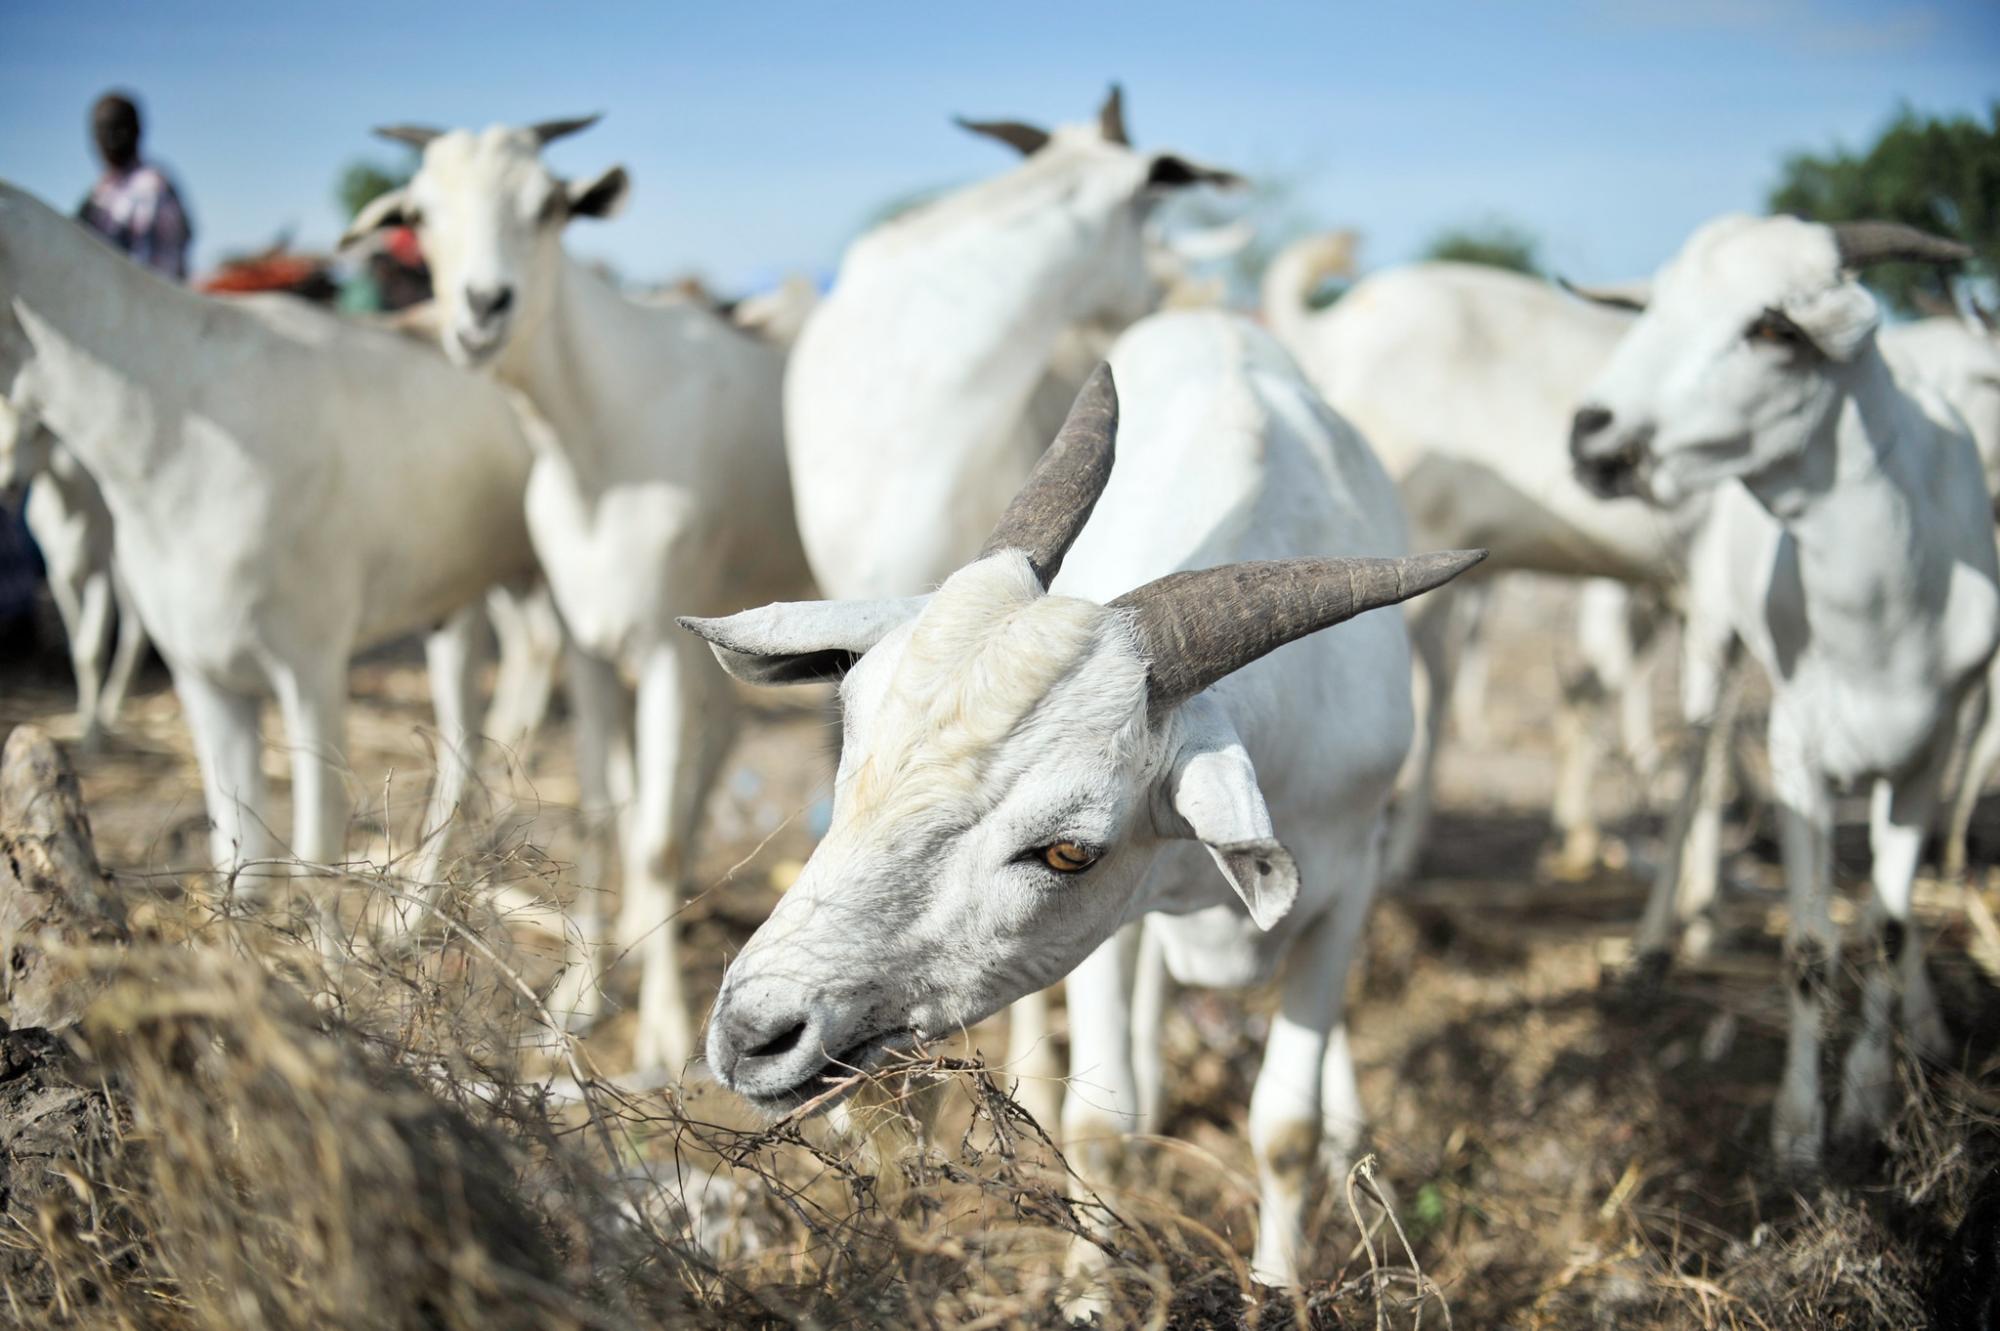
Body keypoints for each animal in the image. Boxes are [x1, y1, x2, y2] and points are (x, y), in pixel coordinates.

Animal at [0, 178, 540, 891]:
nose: (6, 481)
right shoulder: (204, 676)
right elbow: (241, 866)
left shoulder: (312, 667)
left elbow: (312, 856)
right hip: (462, 600)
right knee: (470, 741)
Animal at [348, 111, 808, 1071]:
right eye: (419, 213)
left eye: (549, 206)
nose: (484, 308)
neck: (599, 432)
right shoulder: (586, 640)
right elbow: (602, 810)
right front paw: (582, 996)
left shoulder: (667, 641)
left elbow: (656, 837)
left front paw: (665, 1033)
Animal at [688, 313, 1488, 1287]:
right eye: (853, 741)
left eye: (1068, 849)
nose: (754, 1030)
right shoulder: (1105, 933)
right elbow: (1100, 1122)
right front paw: (1089, 1291)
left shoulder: (1343, 886)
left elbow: (1285, 1130)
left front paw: (1280, 1282)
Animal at [1568, 212, 1992, 1167]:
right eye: (1655, 305)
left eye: (1771, 328)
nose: (1590, 430)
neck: (1885, 610)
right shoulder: (1800, 749)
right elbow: (1805, 944)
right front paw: (1799, 1132)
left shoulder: (1926, 752)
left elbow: (1889, 927)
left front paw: (1870, 1103)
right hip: (1713, 633)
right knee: (1699, 758)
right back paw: (1657, 944)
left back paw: (1926, 1024)